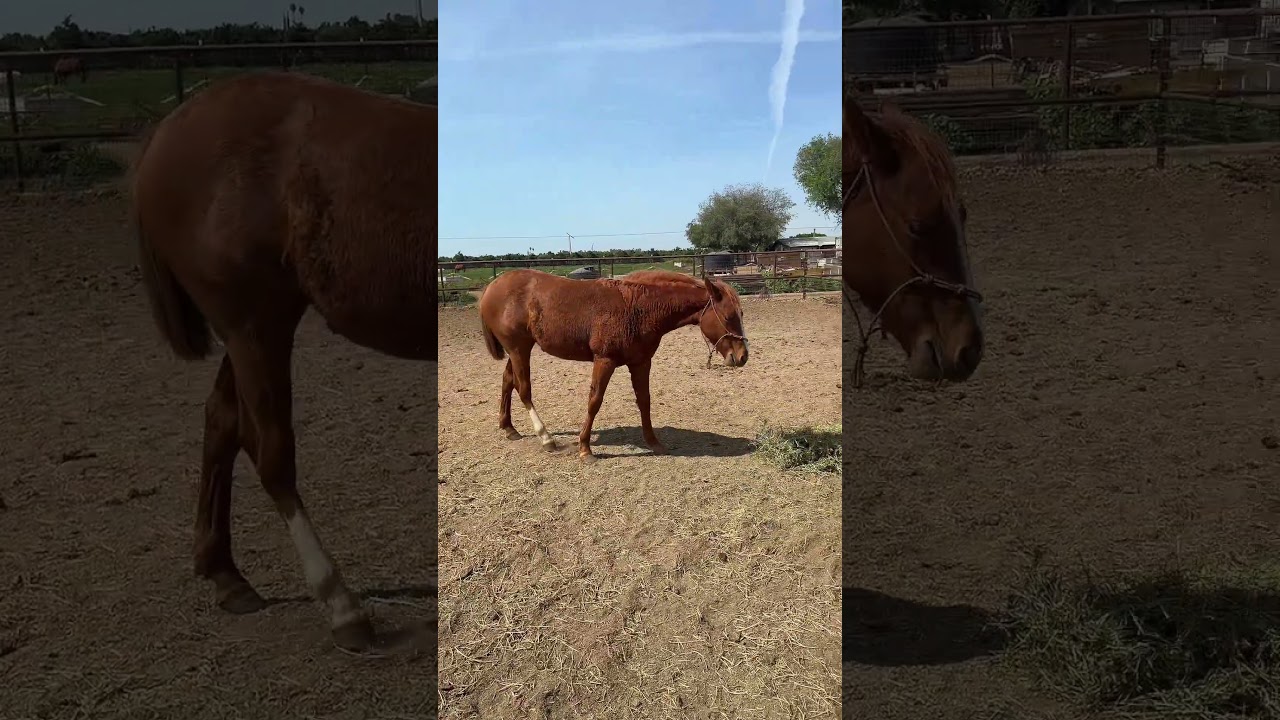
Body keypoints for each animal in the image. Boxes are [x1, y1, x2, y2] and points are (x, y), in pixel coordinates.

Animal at [133, 71, 437, 651]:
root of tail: (166, 132)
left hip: (251, 329)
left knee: (222, 421)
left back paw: (226, 575)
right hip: (256, 325)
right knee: (269, 449)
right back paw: (340, 604)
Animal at [478, 269, 748, 462]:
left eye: (740, 314)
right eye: (728, 316)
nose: (742, 356)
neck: (638, 308)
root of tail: (492, 286)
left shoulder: (641, 362)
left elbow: (644, 401)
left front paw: (654, 443)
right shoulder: (604, 360)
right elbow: (594, 401)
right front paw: (585, 449)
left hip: (518, 350)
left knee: (507, 381)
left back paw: (509, 428)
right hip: (519, 349)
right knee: (523, 389)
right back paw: (546, 438)